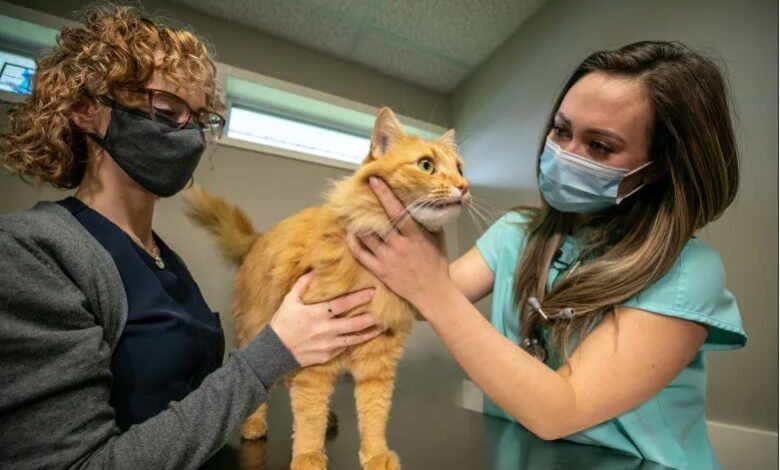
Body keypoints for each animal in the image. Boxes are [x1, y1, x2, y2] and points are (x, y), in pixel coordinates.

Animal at [184, 107, 470, 470]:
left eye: (460, 169)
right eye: (426, 165)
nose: (464, 187)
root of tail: (258, 239)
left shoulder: (378, 357)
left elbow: (374, 412)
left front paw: (375, 453)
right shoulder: (316, 349)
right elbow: (308, 413)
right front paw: (308, 456)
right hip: (259, 329)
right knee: (260, 385)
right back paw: (254, 425)